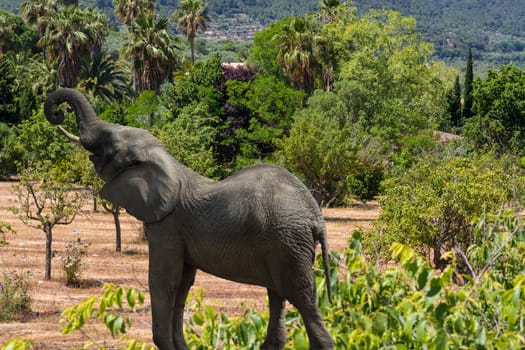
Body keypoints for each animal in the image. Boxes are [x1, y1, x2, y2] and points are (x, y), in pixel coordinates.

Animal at [44, 88, 332, 350]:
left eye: (109, 144)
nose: (61, 112)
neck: (166, 161)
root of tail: (315, 215)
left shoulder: (167, 224)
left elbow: (164, 280)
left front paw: (165, 344)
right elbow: (183, 283)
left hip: (287, 242)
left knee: (303, 300)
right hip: (283, 245)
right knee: (278, 298)